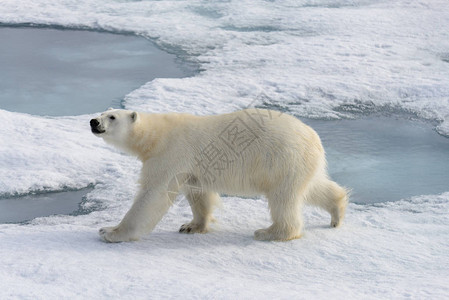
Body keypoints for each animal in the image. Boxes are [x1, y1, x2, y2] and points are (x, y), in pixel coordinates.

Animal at [90, 109, 346, 243]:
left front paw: (110, 232)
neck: (157, 135)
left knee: (283, 199)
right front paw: (191, 226)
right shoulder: (191, 168)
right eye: (102, 112)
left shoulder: (170, 155)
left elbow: (153, 195)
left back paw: (269, 232)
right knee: (313, 188)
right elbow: (199, 194)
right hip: (300, 165)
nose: (93, 121)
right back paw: (337, 212)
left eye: (112, 117)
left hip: (282, 160)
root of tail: (313, 137)